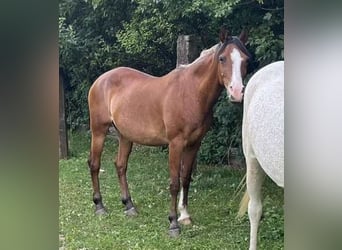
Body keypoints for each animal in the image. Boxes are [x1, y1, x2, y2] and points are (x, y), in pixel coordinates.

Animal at [87, 27, 250, 236]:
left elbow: (186, 179)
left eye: (245, 59)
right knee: (94, 164)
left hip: (125, 136)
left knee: (121, 166)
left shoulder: (194, 144)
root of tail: (100, 80)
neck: (191, 93)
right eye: (222, 58)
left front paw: (185, 216)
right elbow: (174, 183)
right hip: (99, 131)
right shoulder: (175, 144)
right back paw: (99, 206)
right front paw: (173, 223)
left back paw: (129, 205)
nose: (237, 92)